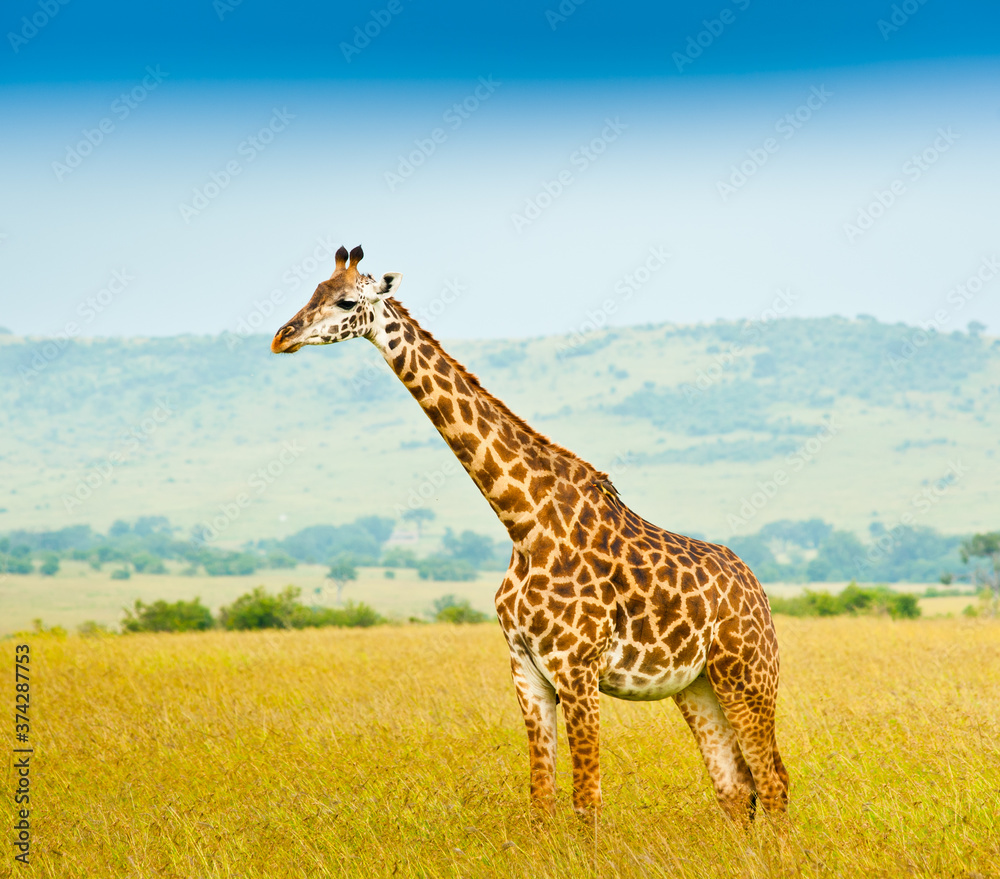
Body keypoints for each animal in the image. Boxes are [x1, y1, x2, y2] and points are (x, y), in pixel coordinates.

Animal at [271, 245, 789, 823]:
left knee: (773, 782)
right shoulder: (527, 672)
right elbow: (542, 799)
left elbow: (587, 801)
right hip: (698, 685)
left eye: (345, 301)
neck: (523, 521)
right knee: (735, 787)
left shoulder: (577, 670)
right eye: (311, 291)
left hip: (748, 674)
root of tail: (758, 591)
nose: (283, 336)